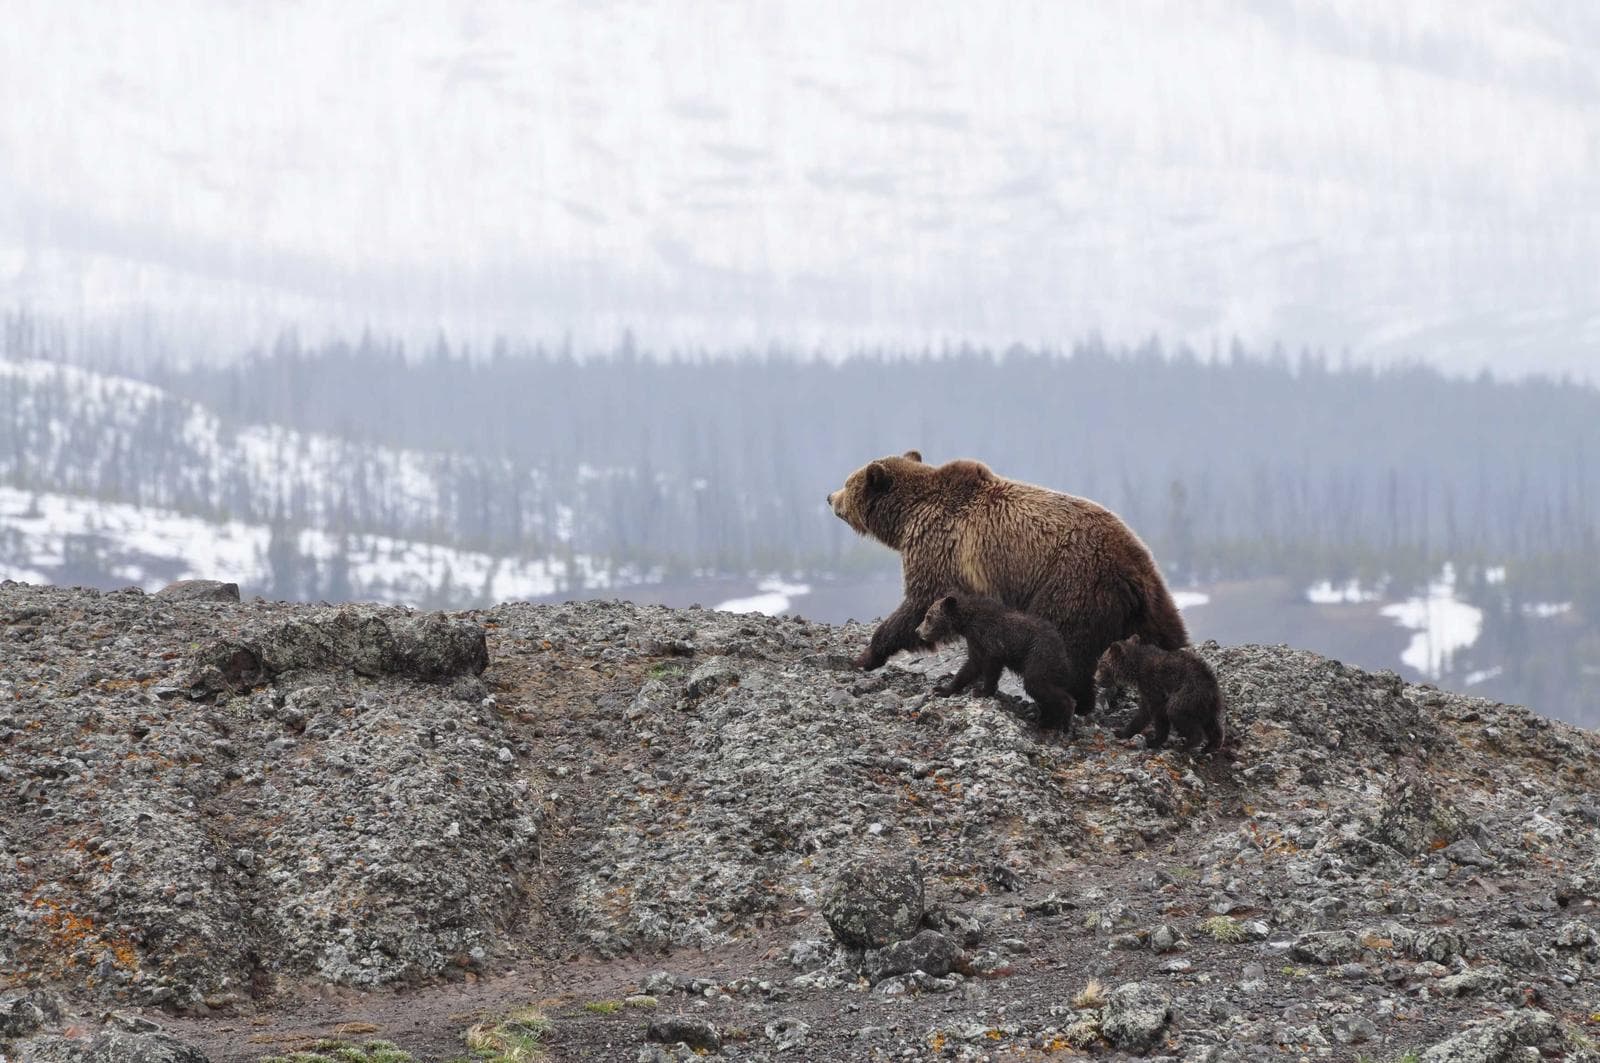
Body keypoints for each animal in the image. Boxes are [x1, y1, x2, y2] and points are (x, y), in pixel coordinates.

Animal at [914, 592, 1078, 731]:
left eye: (928, 616)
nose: (918, 631)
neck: (967, 622)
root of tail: (1064, 654)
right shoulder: (975, 642)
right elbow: (970, 667)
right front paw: (941, 689)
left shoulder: (991, 641)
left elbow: (990, 667)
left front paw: (981, 691)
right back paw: (1046, 719)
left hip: (1039, 655)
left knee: (1036, 684)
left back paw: (1063, 721)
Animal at [1094, 635, 1226, 752]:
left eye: (1101, 664)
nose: (1095, 679)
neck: (1135, 669)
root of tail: (1212, 687)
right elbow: (1148, 712)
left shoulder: (1151, 684)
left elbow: (1152, 712)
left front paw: (1150, 740)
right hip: (1207, 705)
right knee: (1212, 724)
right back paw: (1210, 746)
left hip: (1188, 693)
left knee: (1176, 712)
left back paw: (1185, 746)